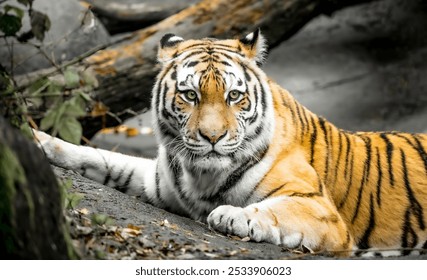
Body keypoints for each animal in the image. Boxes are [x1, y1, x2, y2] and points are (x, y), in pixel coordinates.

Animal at [33, 29, 427, 258]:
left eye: (234, 95)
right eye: (190, 95)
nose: (212, 137)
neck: (199, 174)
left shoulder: (321, 210)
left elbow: (275, 209)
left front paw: (231, 215)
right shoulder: (156, 179)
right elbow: (102, 158)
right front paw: (40, 141)